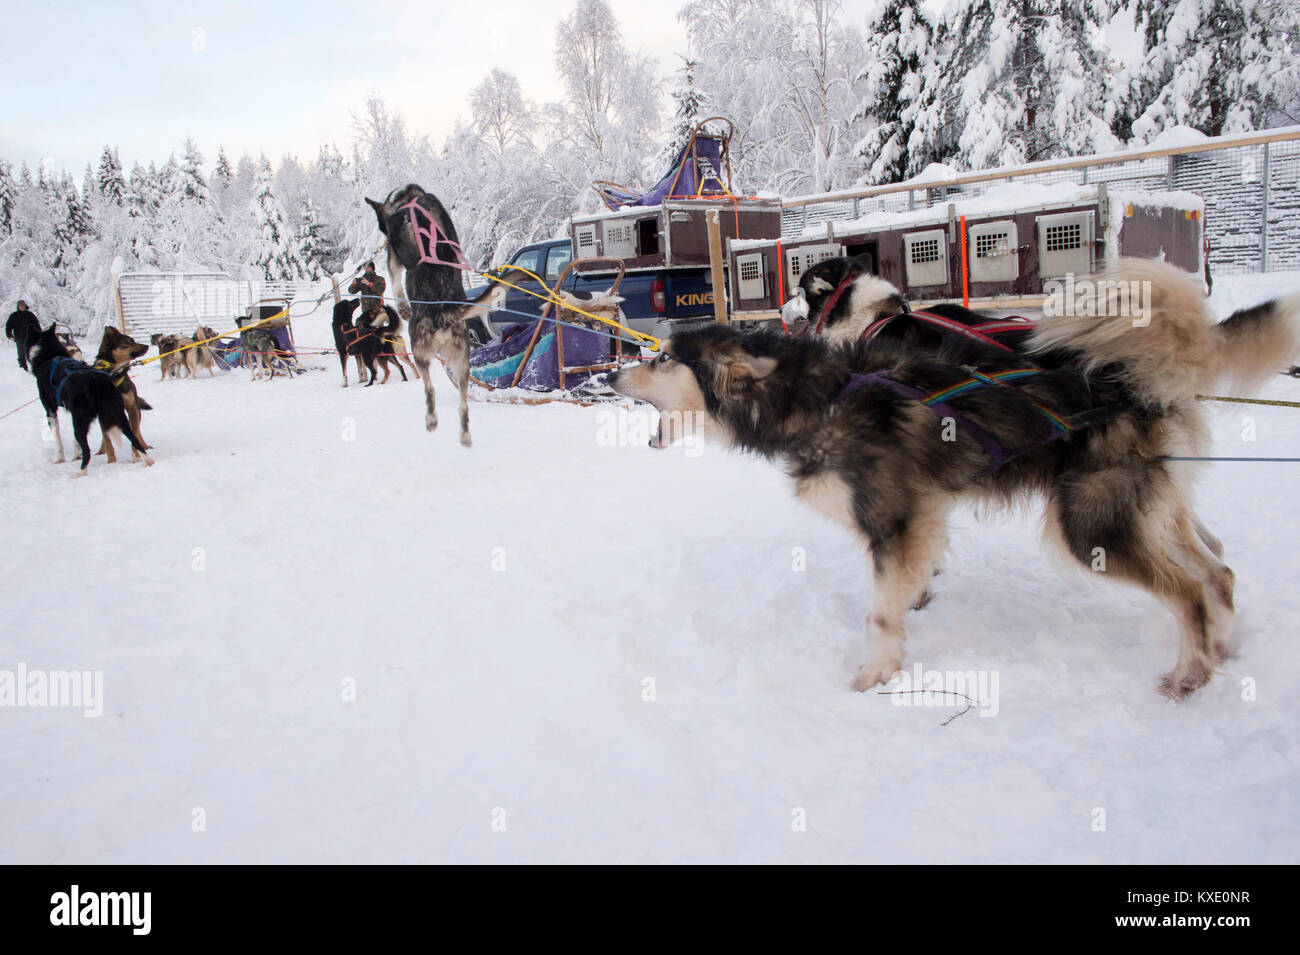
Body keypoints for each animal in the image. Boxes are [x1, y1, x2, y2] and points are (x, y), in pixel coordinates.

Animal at [28, 324, 156, 475]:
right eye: (128, 342)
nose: (146, 346)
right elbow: (107, 440)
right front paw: (111, 460)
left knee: (133, 434)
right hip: (112, 415)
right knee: (115, 436)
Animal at [369, 184, 509, 446]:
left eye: (381, 224)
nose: (382, 233)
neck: (409, 199)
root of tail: (448, 311)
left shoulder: (394, 255)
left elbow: (395, 281)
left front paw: (402, 305)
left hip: (419, 351)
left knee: (429, 389)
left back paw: (432, 420)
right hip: (462, 364)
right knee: (463, 404)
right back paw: (464, 436)